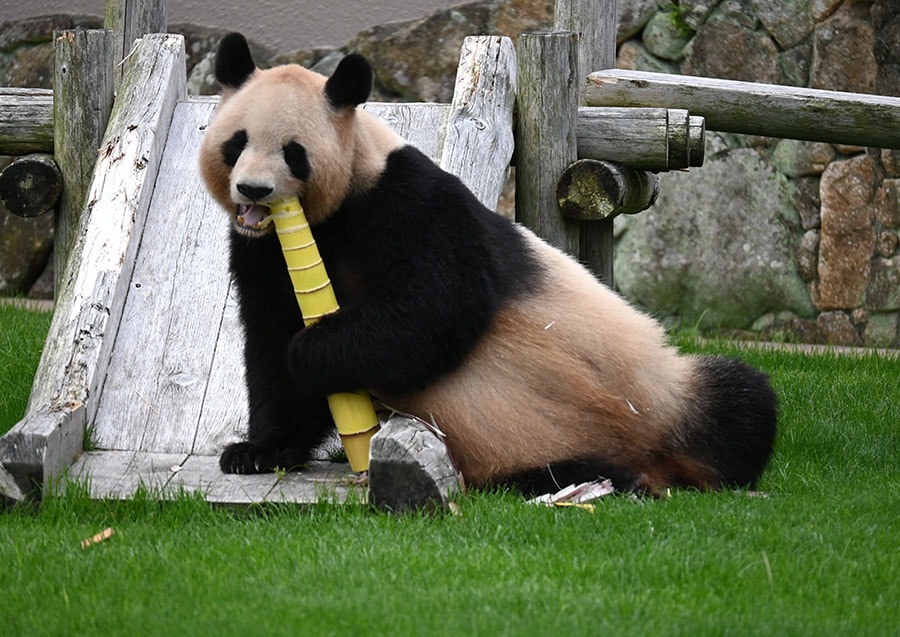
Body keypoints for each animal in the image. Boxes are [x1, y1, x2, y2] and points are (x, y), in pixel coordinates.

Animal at [200, 32, 776, 494]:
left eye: (293, 152)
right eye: (237, 143)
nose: (254, 191)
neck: (329, 216)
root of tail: (652, 457)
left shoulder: (407, 199)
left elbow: (434, 305)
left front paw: (315, 350)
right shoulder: (262, 249)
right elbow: (271, 339)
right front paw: (257, 451)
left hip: (664, 391)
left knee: (740, 402)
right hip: (525, 448)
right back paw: (605, 478)